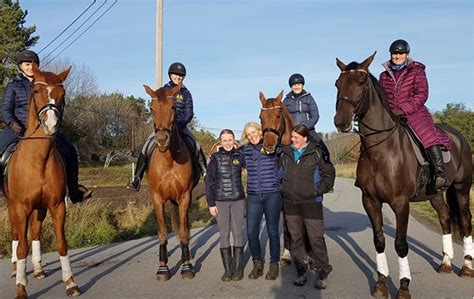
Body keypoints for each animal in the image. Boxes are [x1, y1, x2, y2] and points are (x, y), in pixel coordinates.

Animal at [5, 64, 80, 298]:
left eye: (62, 94)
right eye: (36, 92)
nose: (51, 124)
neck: (38, 159)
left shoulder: (57, 206)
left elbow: (62, 244)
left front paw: (70, 282)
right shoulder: (20, 208)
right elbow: (21, 247)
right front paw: (21, 288)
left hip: (39, 208)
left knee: (36, 232)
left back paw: (38, 269)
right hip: (12, 207)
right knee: (16, 235)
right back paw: (15, 271)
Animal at [143, 82, 197, 282]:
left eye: (173, 107)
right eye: (152, 108)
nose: (161, 139)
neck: (169, 160)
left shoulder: (184, 197)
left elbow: (183, 231)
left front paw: (187, 266)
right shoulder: (157, 199)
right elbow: (162, 233)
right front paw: (163, 268)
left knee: (184, 228)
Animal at [336, 52, 472, 298]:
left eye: (361, 82)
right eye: (337, 84)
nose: (340, 122)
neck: (381, 150)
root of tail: (459, 137)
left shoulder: (401, 203)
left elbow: (400, 245)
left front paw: (404, 286)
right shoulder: (370, 201)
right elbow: (379, 241)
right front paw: (381, 284)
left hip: (461, 188)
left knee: (465, 223)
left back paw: (466, 267)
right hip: (435, 194)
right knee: (446, 219)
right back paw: (446, 263)